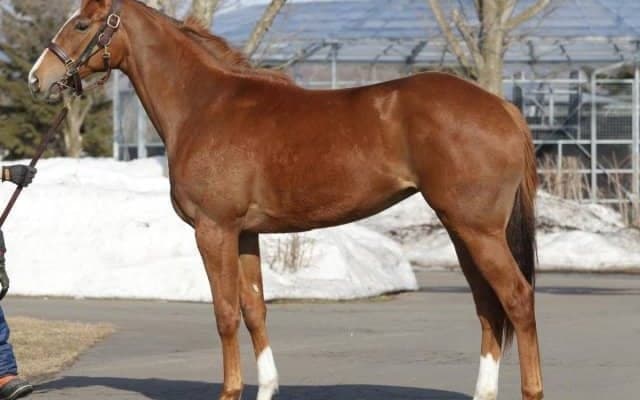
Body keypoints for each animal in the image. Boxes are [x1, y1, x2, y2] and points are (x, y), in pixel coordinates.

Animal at [28, 1, 543, 399]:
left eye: (81, 24)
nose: (38, 78)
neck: (204, 106)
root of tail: (504, 108)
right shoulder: (245, 234)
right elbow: (255, 310)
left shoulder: (214, 231)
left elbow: (225, 313)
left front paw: (230, 390)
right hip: (462, 230)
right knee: (488, 305)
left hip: (477, 230)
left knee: (517, 299)